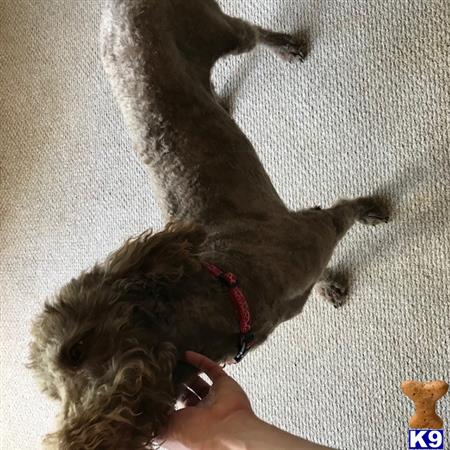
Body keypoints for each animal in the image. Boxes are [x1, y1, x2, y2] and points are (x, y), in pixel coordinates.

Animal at [29, 0, 390, 448]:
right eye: (51, 391)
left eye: (76, 351)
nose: (71, 439)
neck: (225, 285)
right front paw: (330, 285)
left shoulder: (318, 226)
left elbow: (347, 209)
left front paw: (370, 211)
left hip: (216, 31)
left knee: (251, 32)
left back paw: (286, 45)